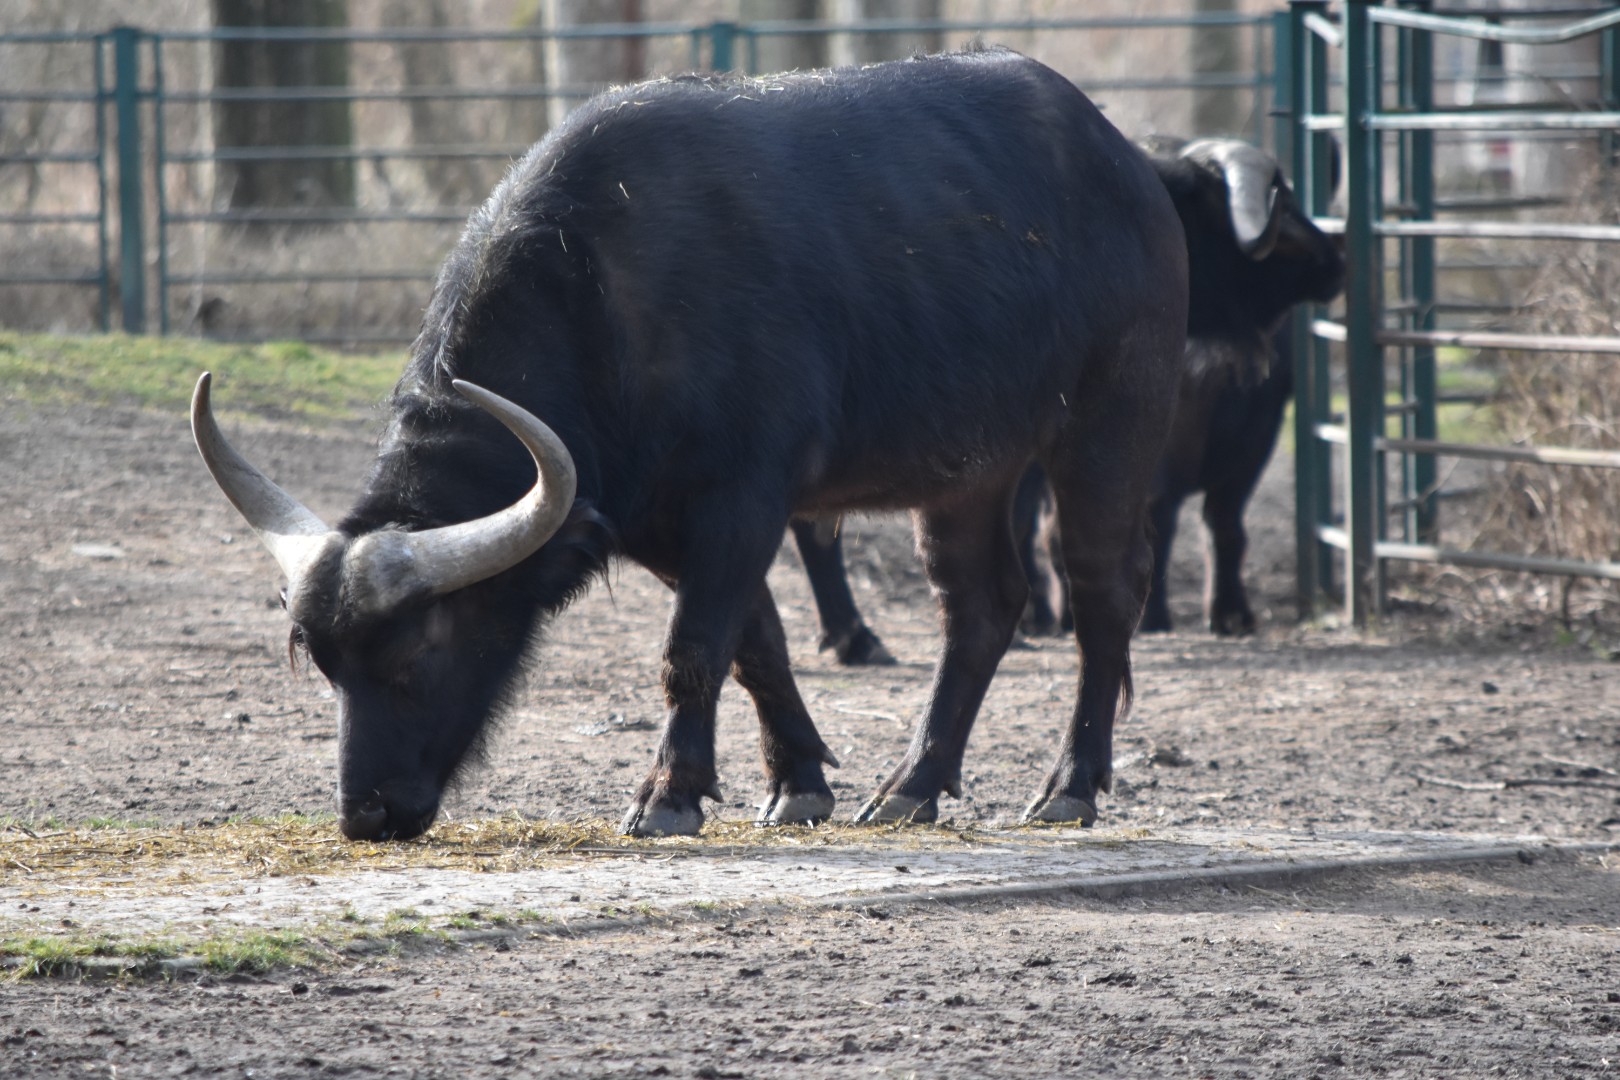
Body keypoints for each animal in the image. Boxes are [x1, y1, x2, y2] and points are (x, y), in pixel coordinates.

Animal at [192, 47, 1188, 840]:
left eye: (415, 654)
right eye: (324, 665)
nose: (366, 813)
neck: (600, 296)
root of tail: (1129, 166)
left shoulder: (743, 498)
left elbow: (693, 651)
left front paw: (668, 795)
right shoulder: (655, 523)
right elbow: (755, 642)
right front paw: (799, 782)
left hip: (1110, 426)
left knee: (1103, 591)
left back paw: (1069, 786)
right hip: (968, 473)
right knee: (978, 605)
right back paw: (912, 786)